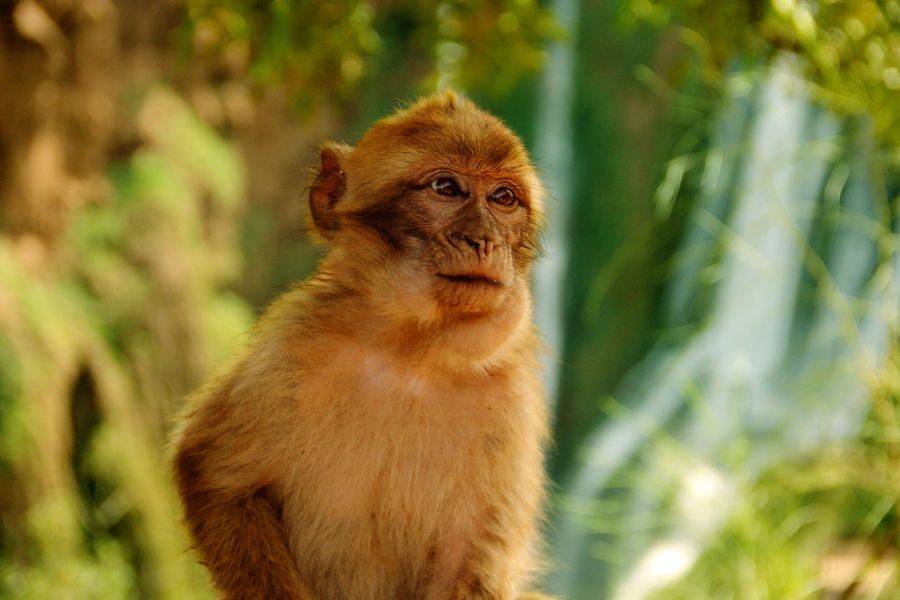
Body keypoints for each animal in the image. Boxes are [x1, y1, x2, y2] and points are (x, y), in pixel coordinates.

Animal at [172, 91, 551, 600]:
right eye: (446, 188)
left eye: (504, 198)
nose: (485, 240)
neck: (410, 356)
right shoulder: (291, 345)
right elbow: (217, 481)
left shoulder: (511, 398)